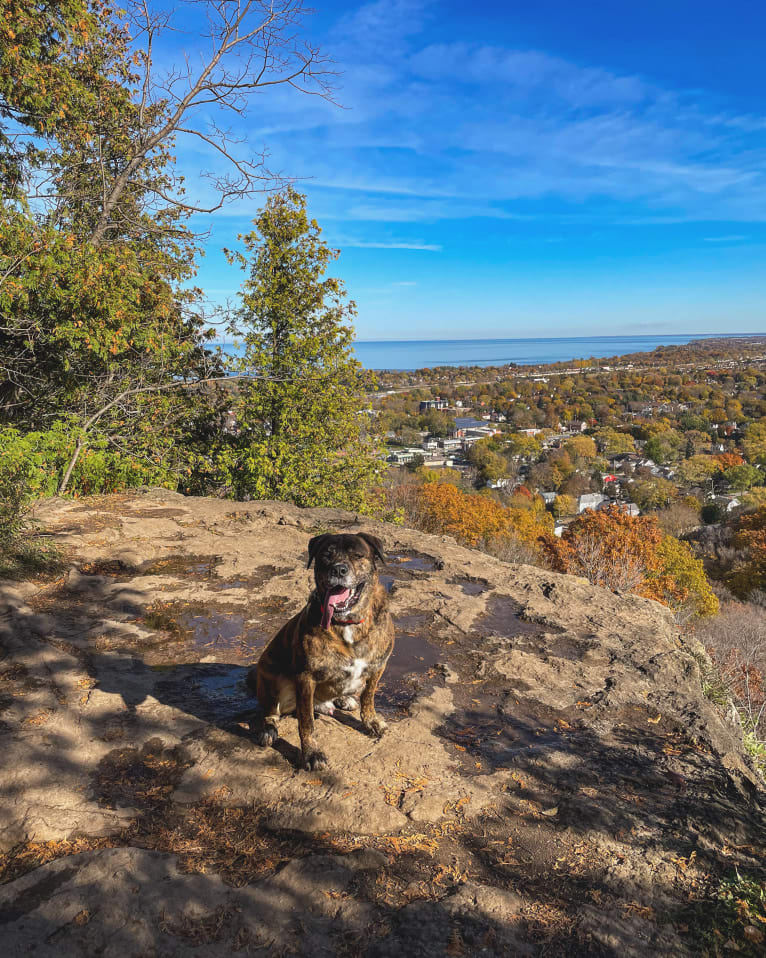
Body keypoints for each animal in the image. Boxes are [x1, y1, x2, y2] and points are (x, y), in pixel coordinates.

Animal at [249, 532, 396, 772]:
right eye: (326, 555)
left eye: (357, 555)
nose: (338, 570)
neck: (347, 622)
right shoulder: (305, 678)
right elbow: (306, 722)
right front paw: (311, 753)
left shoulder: (378, 666)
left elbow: (368, 696)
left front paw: (371, 721)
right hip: (272, 678)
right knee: (271, 713)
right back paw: (269, 730)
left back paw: (343, 700)